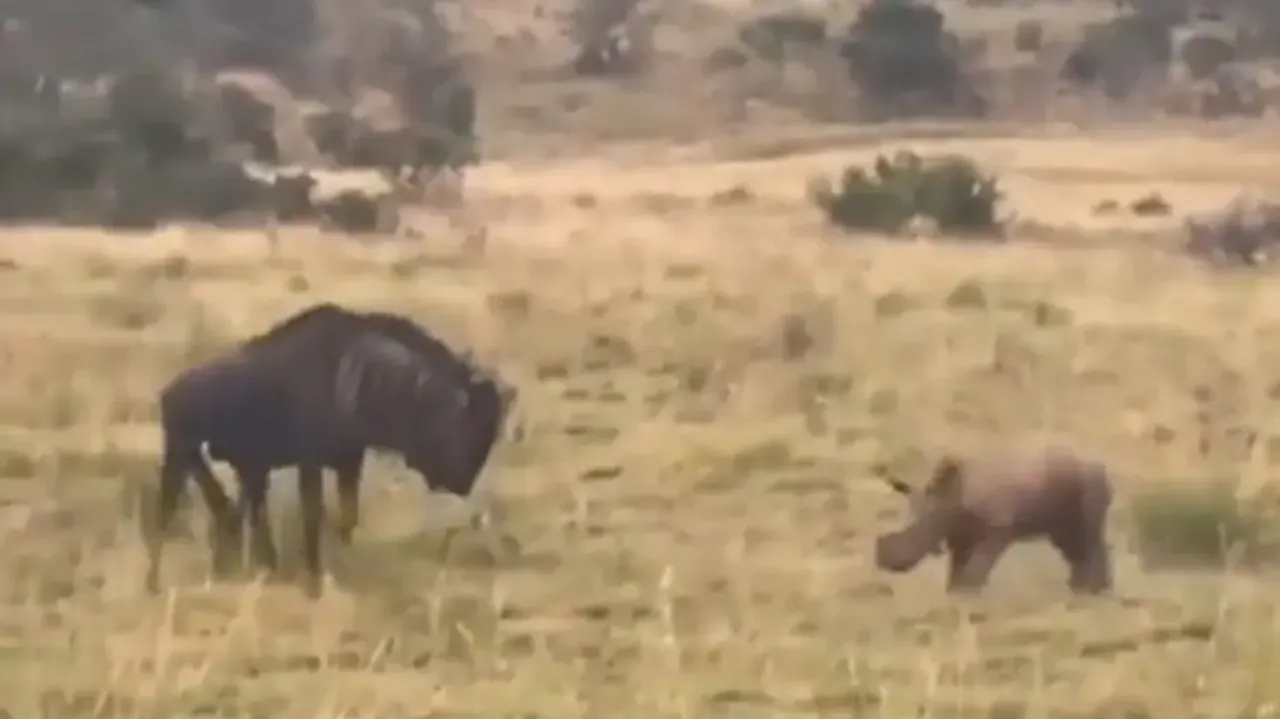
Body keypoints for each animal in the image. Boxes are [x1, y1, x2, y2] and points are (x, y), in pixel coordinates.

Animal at [874, 446, 1113, 594]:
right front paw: (956, 595)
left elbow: (978, 566)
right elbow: (957, 568)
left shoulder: (997, 526)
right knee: (1070, 539)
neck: (949, 497)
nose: (885, 564)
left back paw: (1094, 592)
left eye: (919, 530)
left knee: (1088, 533)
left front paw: (969, 594)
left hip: (1091, 479)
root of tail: (1100, 461)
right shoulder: (960, 533)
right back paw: (1080, 591)